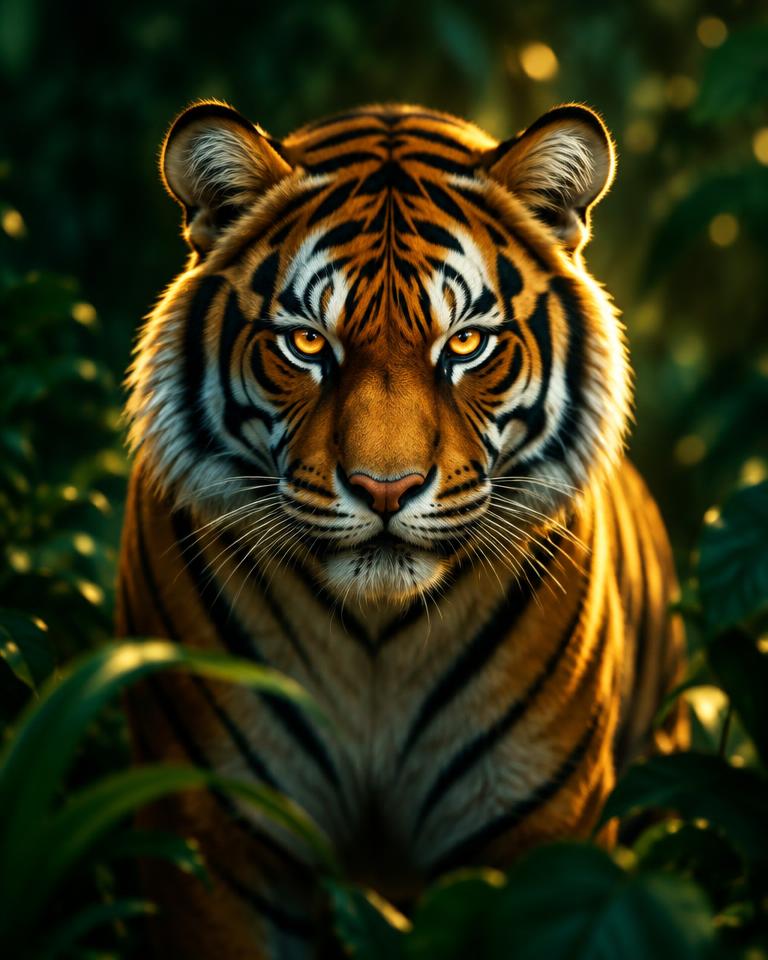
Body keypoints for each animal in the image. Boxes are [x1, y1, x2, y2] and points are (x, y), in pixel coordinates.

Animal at [117, 98, 687, 959]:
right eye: (307, 342)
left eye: (467, 343)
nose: (385, 489)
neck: (376, 641)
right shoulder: (219, 839)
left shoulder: (538, 828)